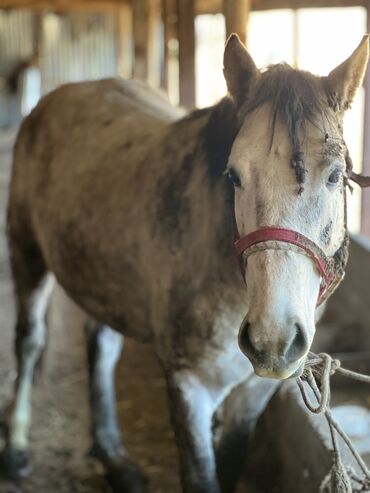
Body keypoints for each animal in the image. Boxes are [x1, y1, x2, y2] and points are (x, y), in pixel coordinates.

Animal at [0, 32, 370, 490]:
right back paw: (16, 449)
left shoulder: (251, 395)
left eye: (335, 175)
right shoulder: (189, 386)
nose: (273, 340)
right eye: (233, 176)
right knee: (30, 341)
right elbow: (200, 477)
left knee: (100, 346)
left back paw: (114, 457)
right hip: (26, 251)